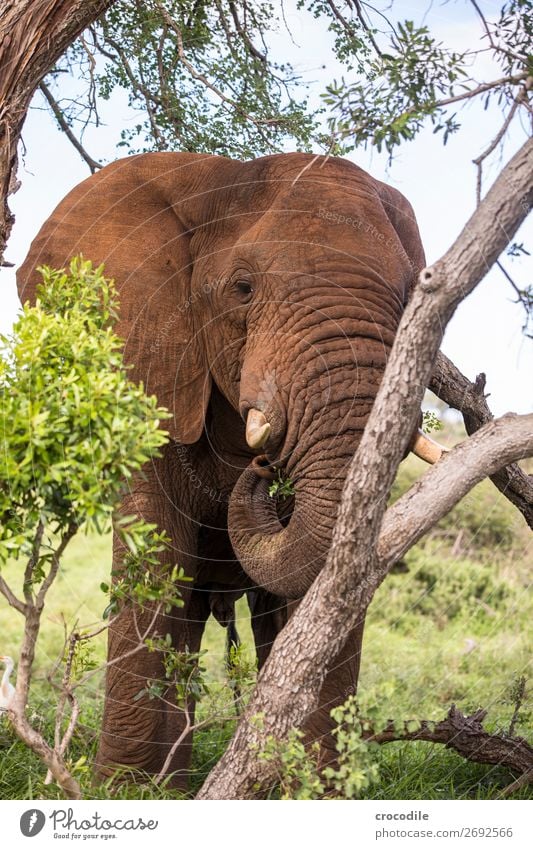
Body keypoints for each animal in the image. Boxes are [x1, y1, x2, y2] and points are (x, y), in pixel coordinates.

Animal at [17, 151, 440, 788]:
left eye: (413, 295)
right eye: (242, 289)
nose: (262, 464)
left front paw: (315, 792)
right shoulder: (151, 366)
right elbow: (156, 544)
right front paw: (119, 788)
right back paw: (170, 784)